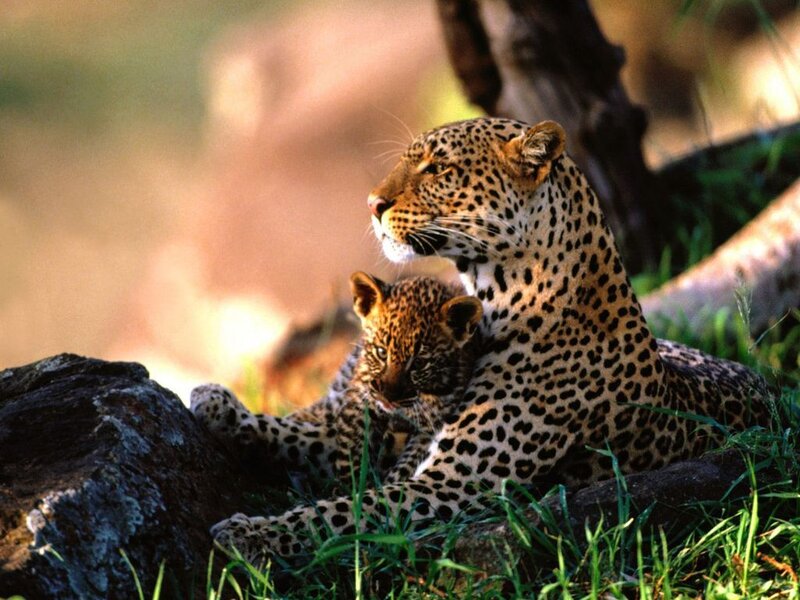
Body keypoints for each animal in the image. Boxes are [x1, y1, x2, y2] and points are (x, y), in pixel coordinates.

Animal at [204, 117, 773, 564]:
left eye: (437, 169)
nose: (371, 204)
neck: (498, 297)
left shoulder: (451, 487)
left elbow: (341, 511)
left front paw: (251, 534)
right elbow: (305, 436)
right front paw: (217, 405)